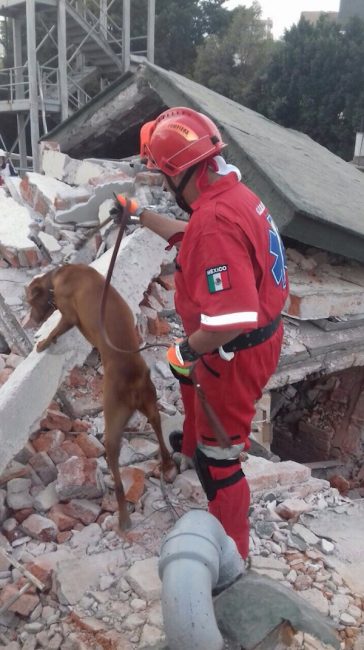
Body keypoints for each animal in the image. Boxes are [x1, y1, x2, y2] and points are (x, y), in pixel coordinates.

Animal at [26, 262, 177, 528]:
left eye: (30, 302)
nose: (32, 323)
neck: (60, 274)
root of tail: (134, 380)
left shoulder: (68, 316)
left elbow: (56, 330)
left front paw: (43, 342)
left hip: (112, 425)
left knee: (117, 479)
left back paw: (123, 517)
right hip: (151, 405)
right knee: (159, 432)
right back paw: (167, 463)